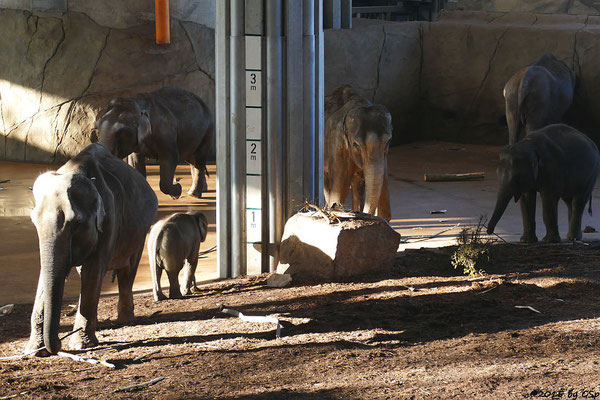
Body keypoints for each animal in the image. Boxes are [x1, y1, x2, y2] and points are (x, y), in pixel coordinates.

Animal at [25, 145, 157, 356]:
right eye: (33, 221)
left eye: (76, 223)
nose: (57, 344)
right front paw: (35, 350)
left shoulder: (110, 219)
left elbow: (93, 271)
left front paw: (81, 345)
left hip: (140, 232)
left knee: (128, 270)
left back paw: (125, 320)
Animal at [324, 85, 394, 220]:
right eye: (356, 145)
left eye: (388, 141)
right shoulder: (337, 145)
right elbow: (339, 192)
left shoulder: (384, 156)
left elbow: (385, 208)